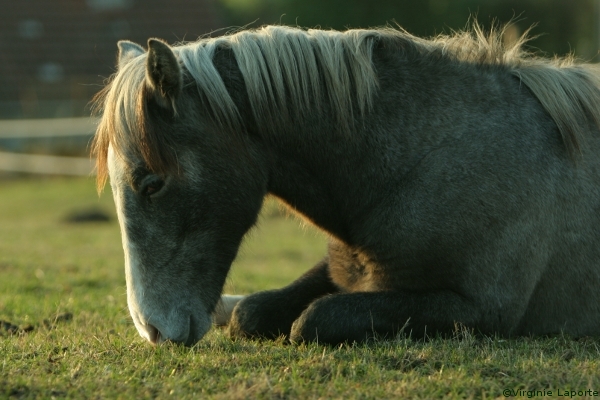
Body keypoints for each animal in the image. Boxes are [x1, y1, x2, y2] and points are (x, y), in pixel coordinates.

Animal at [91, 22, 600, 346]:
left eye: (152, 184)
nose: (152, 330)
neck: (424, 156)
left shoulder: (479, 311)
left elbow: (313, 320)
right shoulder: (340, 273)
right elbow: (250, 311)